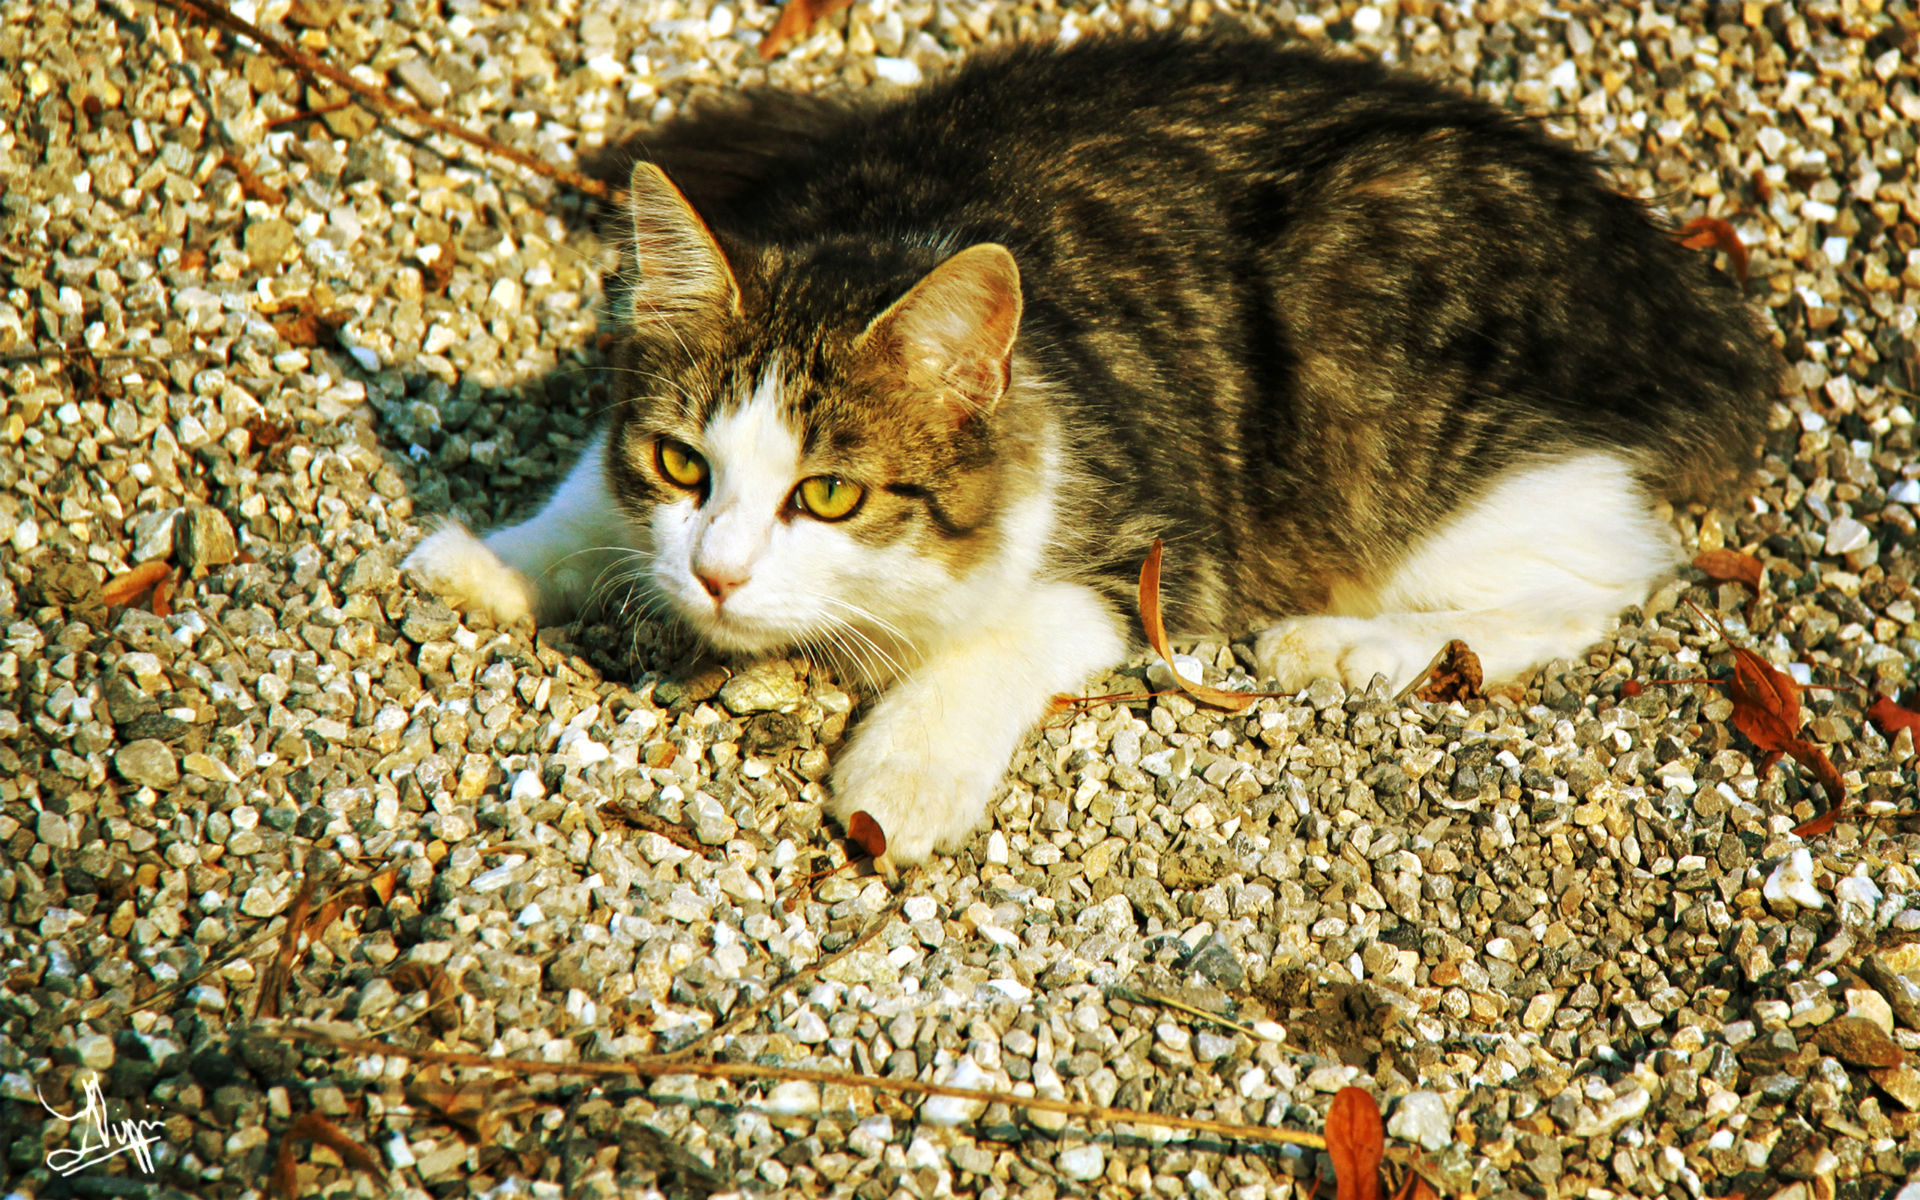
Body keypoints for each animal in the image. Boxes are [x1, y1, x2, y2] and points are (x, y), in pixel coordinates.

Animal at [405, 30, 1781, 871]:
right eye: (685, 467)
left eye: (830, 494)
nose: (718, 575)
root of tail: (1686, 293)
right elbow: (585, 492)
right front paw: (496, 559)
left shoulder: (1156, 544)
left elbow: (1008, 633)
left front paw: (902, 769)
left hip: (1425, 446)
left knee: (1606, 581)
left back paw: (1358, 646)